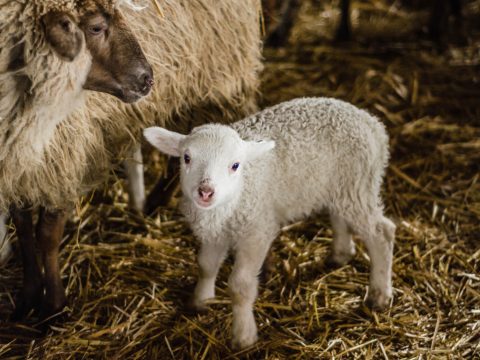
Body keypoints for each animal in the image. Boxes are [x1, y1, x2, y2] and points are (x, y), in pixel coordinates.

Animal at [9, 0, 264, 320]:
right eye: (96, 27)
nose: (147, 78)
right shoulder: (19, 167)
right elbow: (23, 230)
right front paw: (28, 296)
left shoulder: (65, 154)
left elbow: (47, 235)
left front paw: (53, 306)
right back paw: (154, 203)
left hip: (221, 80)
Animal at [144, 97, 396, 348]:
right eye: (186, 158)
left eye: (235, 165)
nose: (206, 192)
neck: (231, 201)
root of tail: (373, 125)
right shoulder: (215, 234)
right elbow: (206, 265)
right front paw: (201, 301)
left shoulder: (256, 232)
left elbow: (240, 286)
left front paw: (244, 336)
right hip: (341, 187)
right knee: (340, 218)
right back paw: (340, 255)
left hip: (358, 184)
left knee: (382, 232)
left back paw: (379, 294)